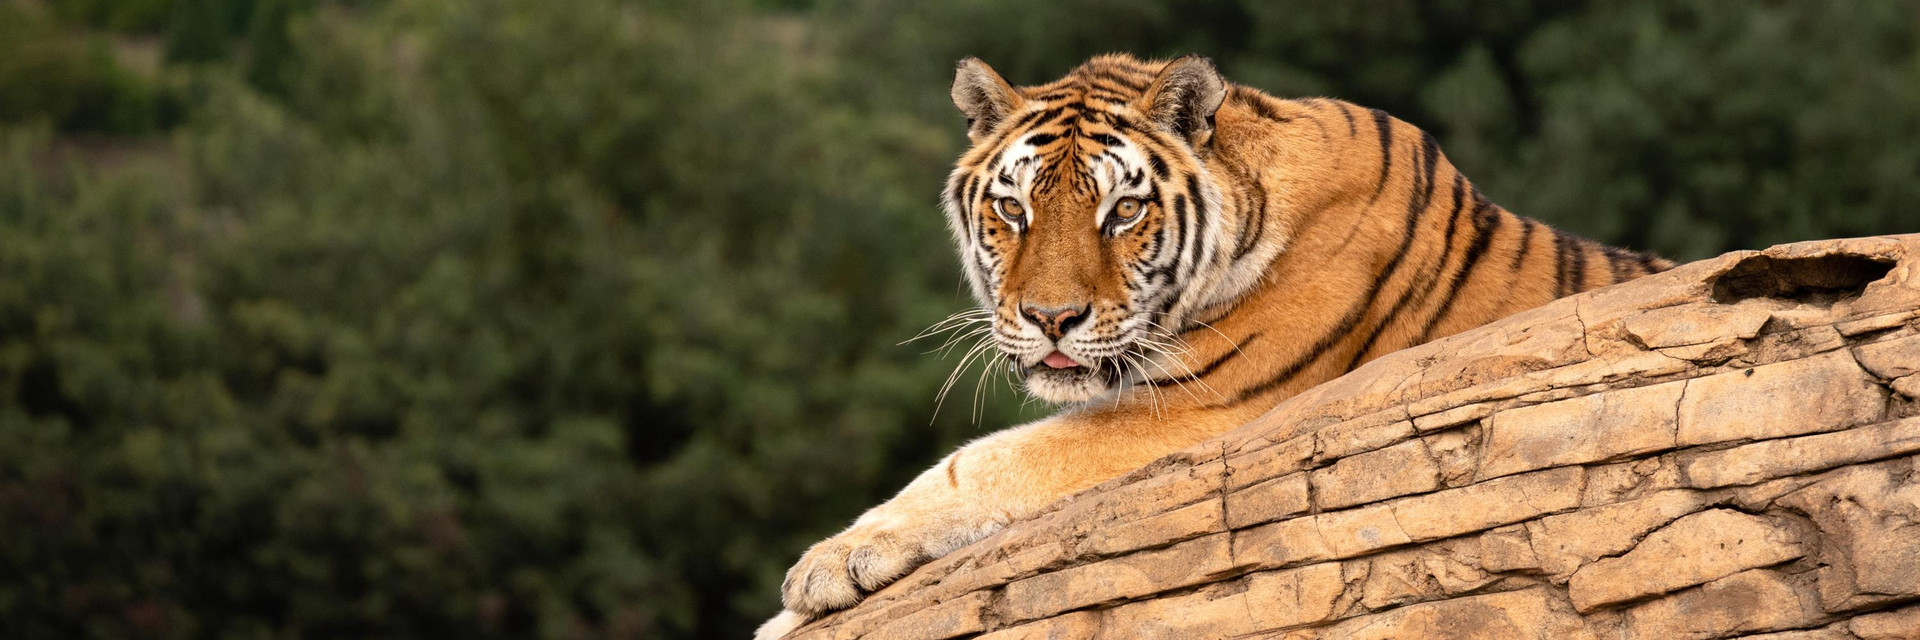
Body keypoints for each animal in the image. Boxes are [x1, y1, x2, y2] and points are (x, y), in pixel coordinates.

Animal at [757, 53, 1672, 639]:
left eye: (1122, 211)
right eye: (1013, 209)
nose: (1052, 318)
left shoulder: (1205, 409)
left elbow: (982, 462)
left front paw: (818, 574)